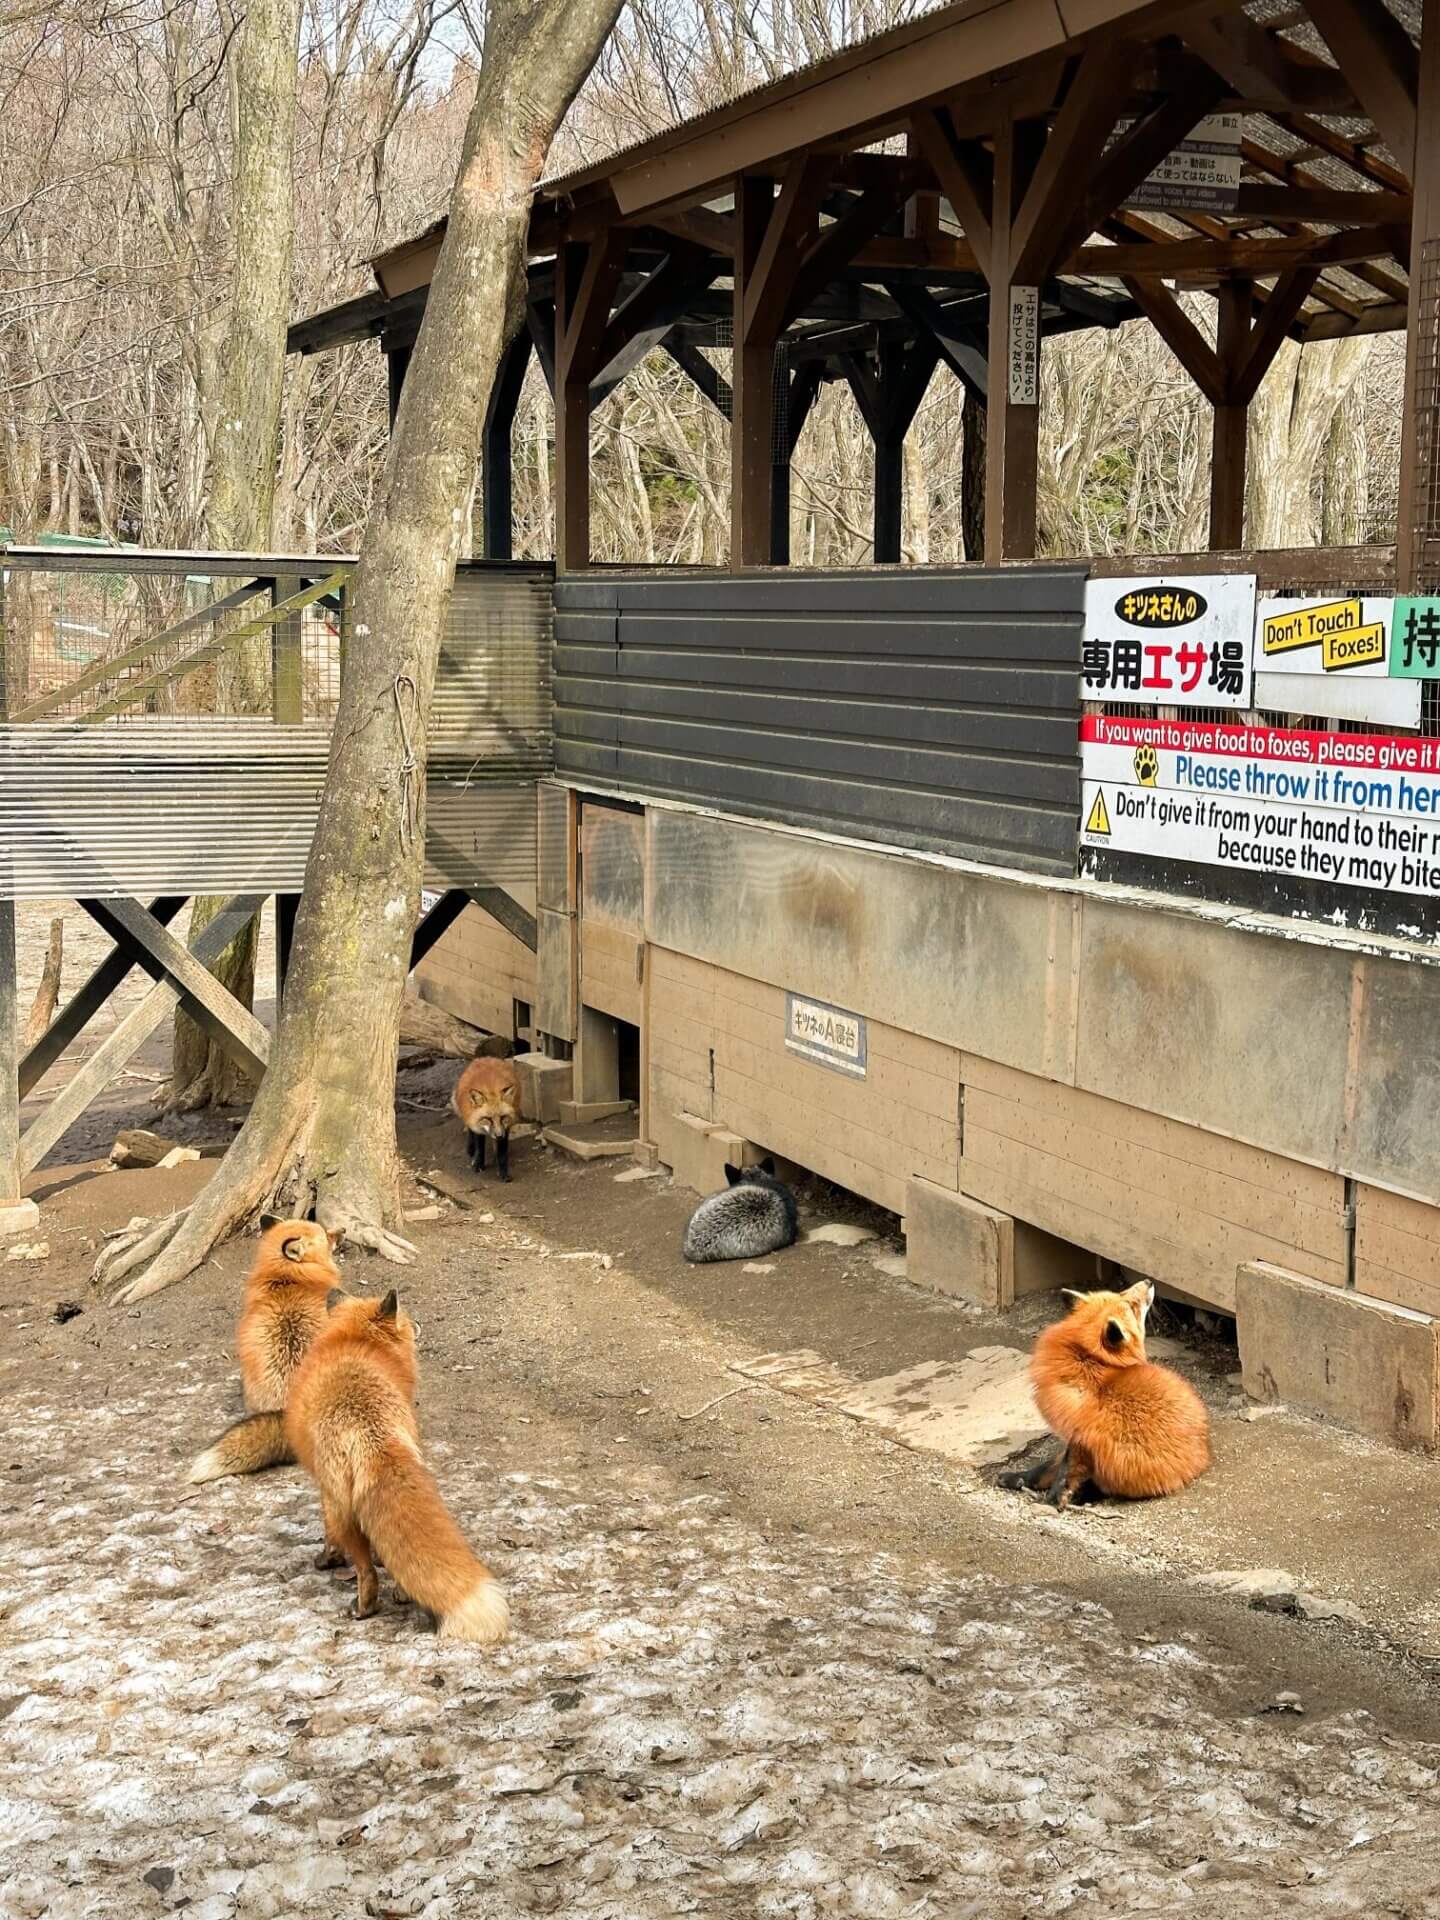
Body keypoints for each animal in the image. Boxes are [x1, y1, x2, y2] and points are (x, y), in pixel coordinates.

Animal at [284, 1282, 510, 1643]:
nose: (417, 1325)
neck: (353, 1342)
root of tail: (369, 1429)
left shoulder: (325, 1491)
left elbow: (330, 1538)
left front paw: (325, 1559)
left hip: (344, 1511)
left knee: (366, 1572)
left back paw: (364, 1607)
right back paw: (402, 1593)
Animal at [1006, 1282, 1221, 1505]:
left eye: (1132, 1305)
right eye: (1125, 1296)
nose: (1148, 1281)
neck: (1089, 1360)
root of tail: (1205, 1448)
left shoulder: (1079, 1437)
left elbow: (1064, 1474)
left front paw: (1055, 1500)